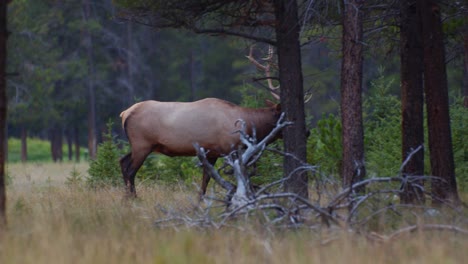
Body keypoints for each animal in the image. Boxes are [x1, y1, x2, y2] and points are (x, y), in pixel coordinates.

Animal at [119, 98, 282, 197]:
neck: (249, 127)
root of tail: (124, 114)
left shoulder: (212, 153)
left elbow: (206, 178)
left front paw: (200, 200)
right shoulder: (231, 149)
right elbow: (243, 177)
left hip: (139, 146)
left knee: (122, 161)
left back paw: (126, 198)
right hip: (142, 145)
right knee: (131, 171)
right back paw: (133, 198)